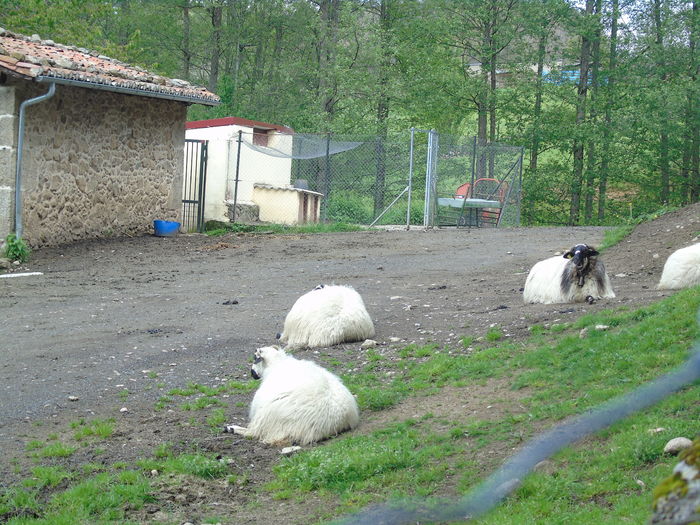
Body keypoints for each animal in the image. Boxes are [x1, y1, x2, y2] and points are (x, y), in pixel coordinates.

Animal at [224, 346, 360, 444]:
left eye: (254, 358)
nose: (252, 373)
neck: (276, 363)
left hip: (268, 414)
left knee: (253, 432)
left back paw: (231, 428)